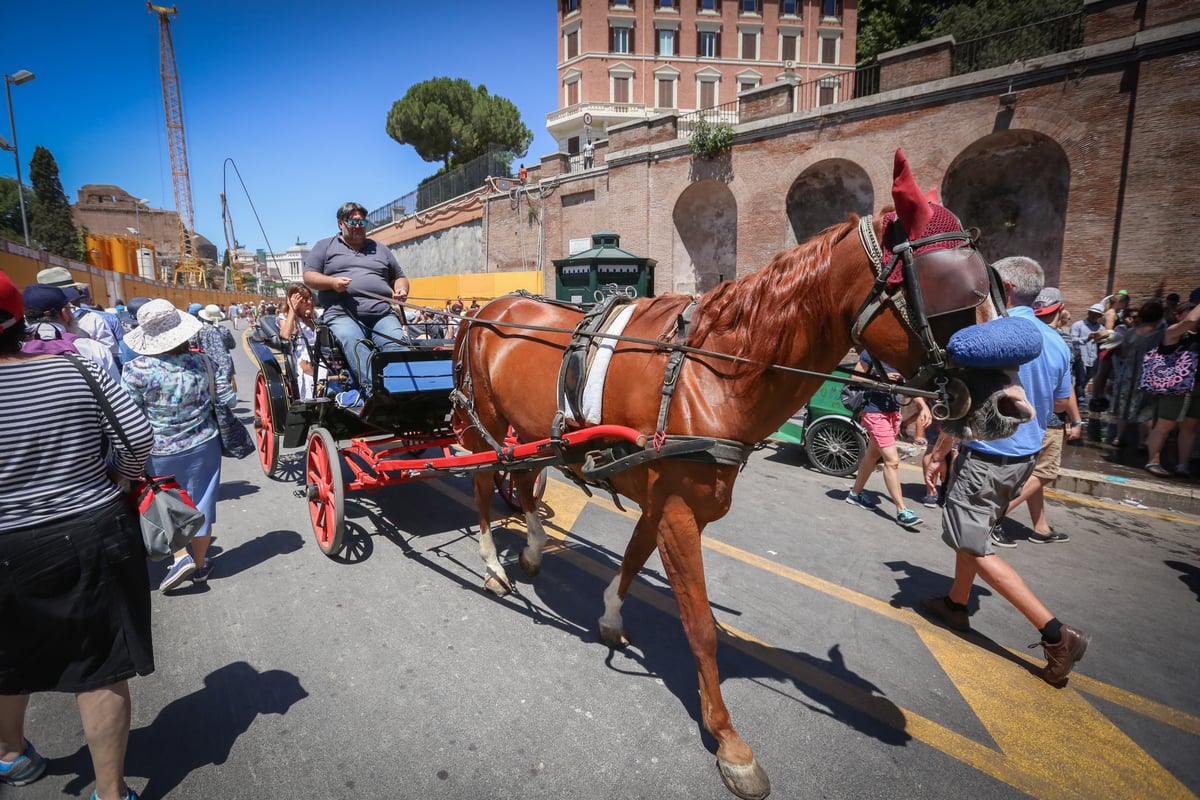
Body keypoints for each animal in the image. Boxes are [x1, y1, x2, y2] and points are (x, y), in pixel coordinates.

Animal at [451, 153, 1032, 796]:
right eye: (952, 292)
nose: (1013, 407)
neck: (713, 372)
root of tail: (486, 308)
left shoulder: (663, 500)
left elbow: (631, 559)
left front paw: (608, 616)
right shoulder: (679, 513)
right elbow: (701, 626)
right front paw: (728, 740)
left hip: (529, 436)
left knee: (526, 484)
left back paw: (530, 550)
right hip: (485, 423)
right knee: (483, 485)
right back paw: (492, 566)